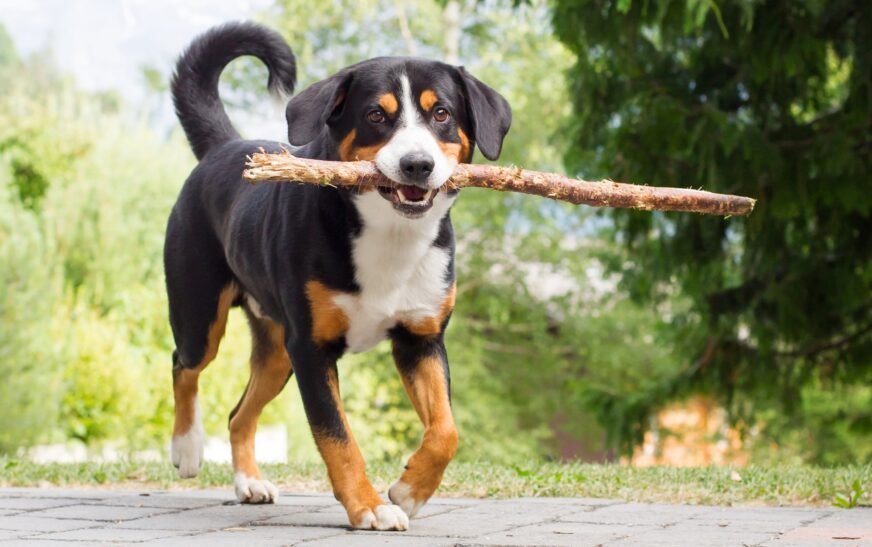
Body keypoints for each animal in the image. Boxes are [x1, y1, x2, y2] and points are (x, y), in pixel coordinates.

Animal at [164, 22, 510, 532]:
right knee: (184, 365)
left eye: (441, 113)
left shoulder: (420, 339)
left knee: (238, 414)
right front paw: (369, 507)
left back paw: (249, 482)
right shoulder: (313, 349)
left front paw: (409, 490)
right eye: (376, 115)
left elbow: (446, 430)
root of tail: (224, 147)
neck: (390, 235)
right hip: (201, 314)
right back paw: (187, 447)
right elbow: (337, 437)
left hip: (277, 352)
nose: (417, 165)